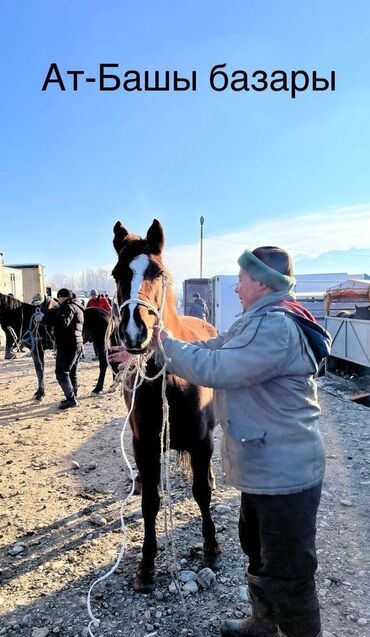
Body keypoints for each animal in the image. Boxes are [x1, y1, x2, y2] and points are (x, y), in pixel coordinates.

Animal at [112, 217, 223, 592]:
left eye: (157, 272)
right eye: (117, 274)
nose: (135, 331)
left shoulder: (202, 441)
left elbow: (202, 492)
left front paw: (212, 548)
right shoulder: (144, 444)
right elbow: (150, 503)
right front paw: (146, 566)